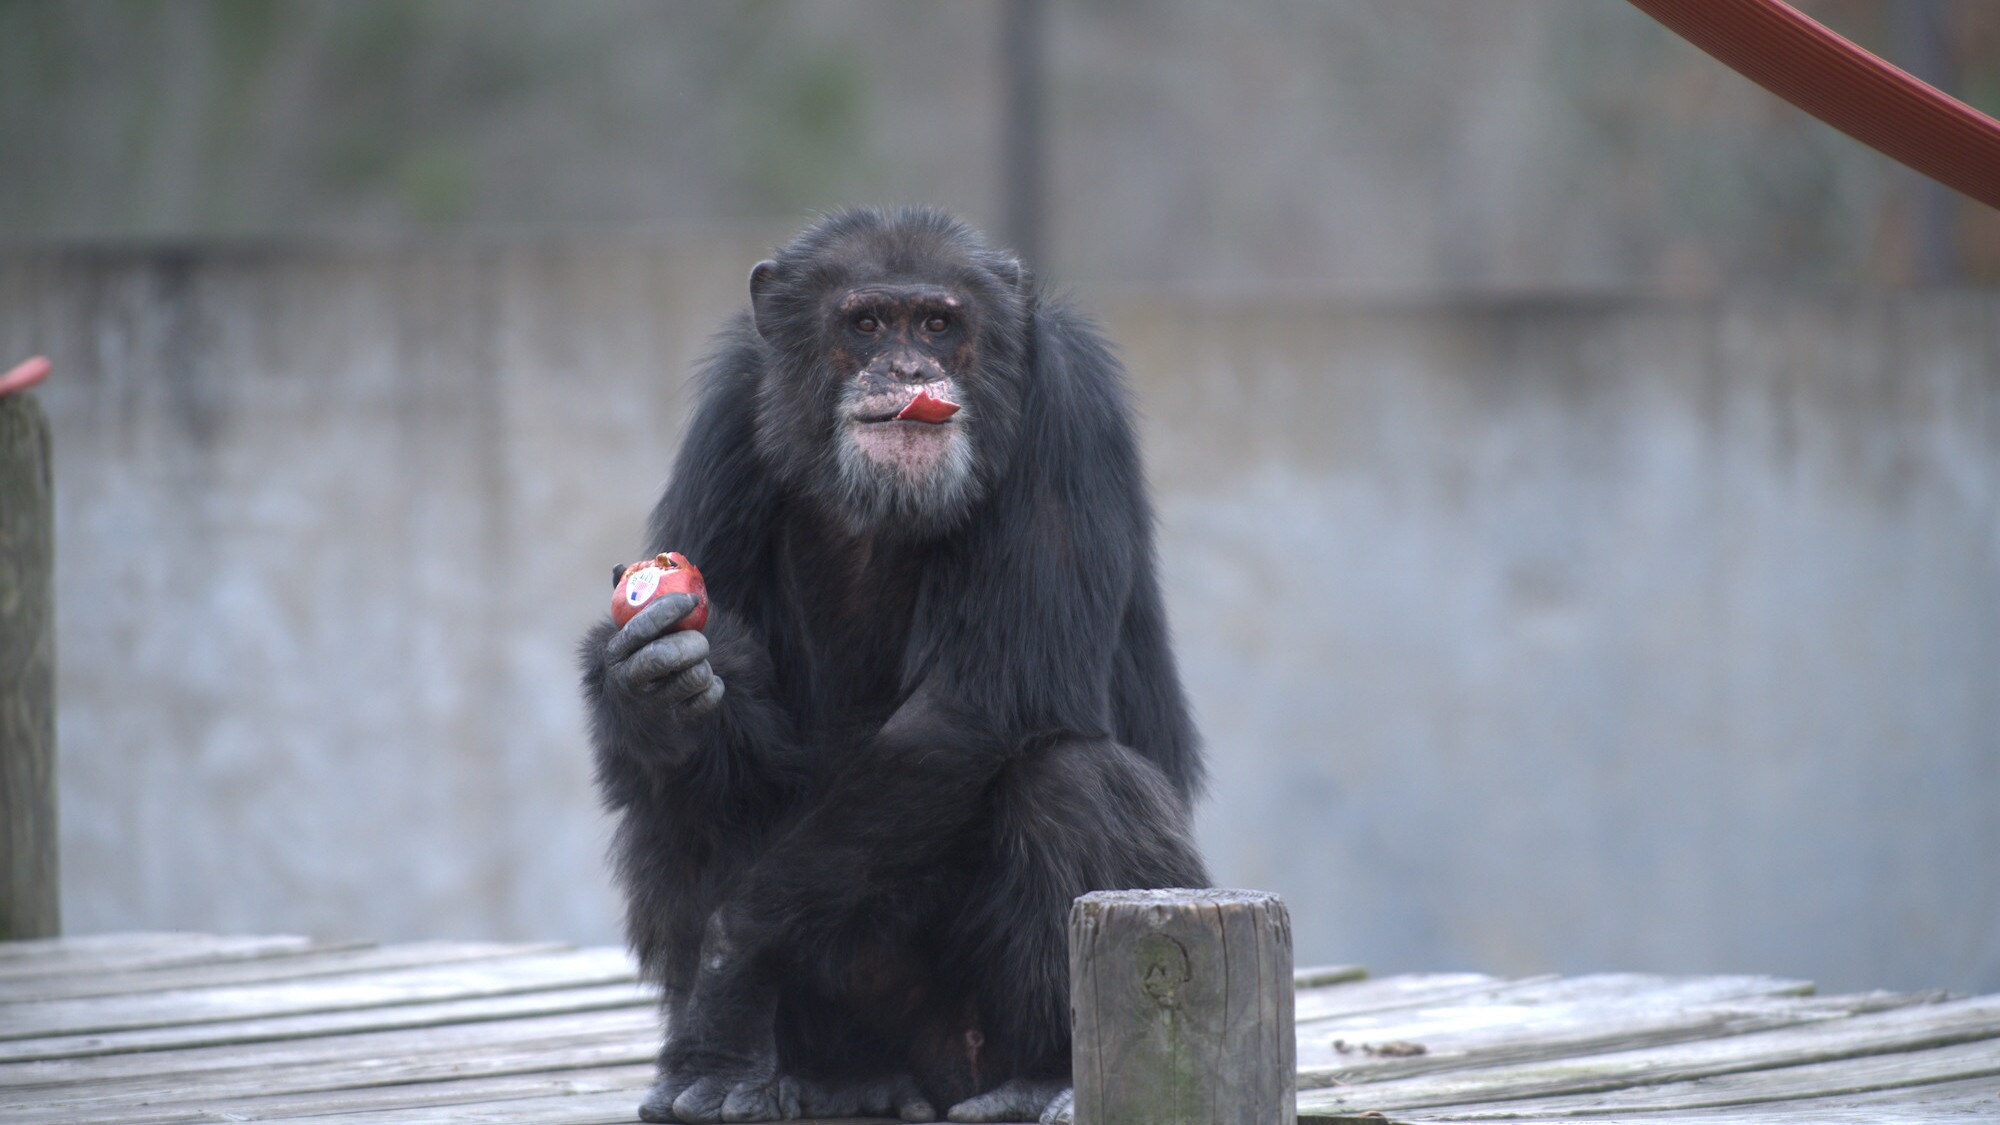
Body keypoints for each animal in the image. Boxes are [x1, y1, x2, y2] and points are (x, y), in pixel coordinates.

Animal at [580, 206, 1200, 1112]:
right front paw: (648, 682)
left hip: (985, 1027)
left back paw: (1043, 1076)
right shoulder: (726, 413)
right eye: (866, 323)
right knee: (679, 798)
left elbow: (976, 704)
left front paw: (729, 973)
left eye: (938, 324)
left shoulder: (1068, 405)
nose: (908, 367)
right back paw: (815, 1078)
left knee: (1071, 780)